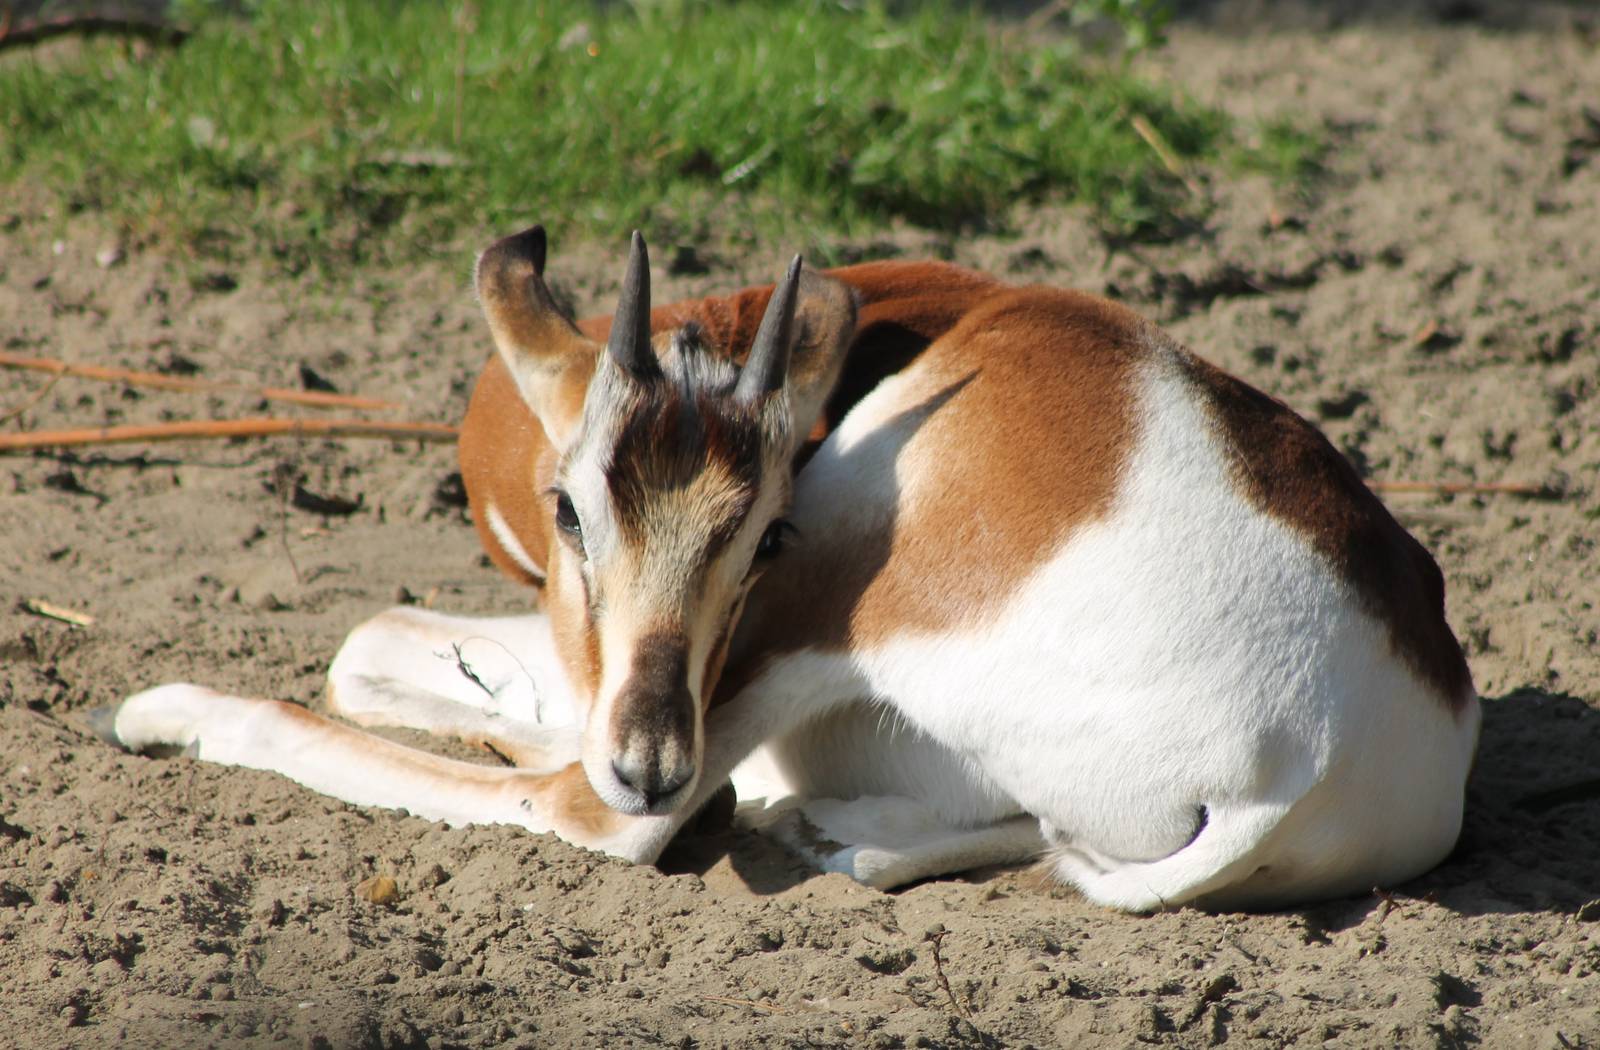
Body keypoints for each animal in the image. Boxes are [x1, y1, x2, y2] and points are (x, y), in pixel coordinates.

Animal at [93, 226, 1480, 911]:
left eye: (768, 531)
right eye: (570, 509)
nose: (650, 754)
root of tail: (1315, 754)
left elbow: (366, 662)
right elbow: (375, 640)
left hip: (817, 627)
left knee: (597, 817)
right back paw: (831, 831)